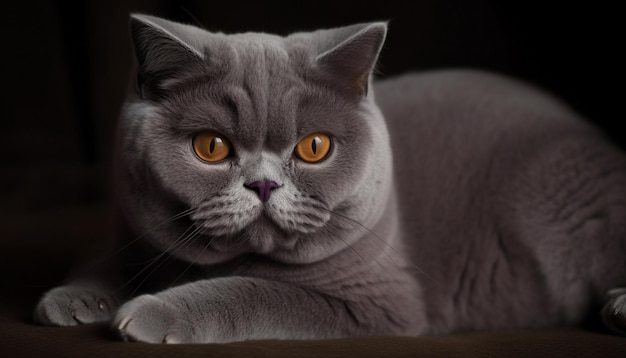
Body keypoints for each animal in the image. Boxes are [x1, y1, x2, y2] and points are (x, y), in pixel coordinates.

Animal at [31, 14, 624, 342]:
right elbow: (110, 260)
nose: (263, 184)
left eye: (314, 147)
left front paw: (151, 311)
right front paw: (72, 299)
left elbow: (252, 291)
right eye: (211, 147)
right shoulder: (134, 231)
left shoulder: (374, 299)